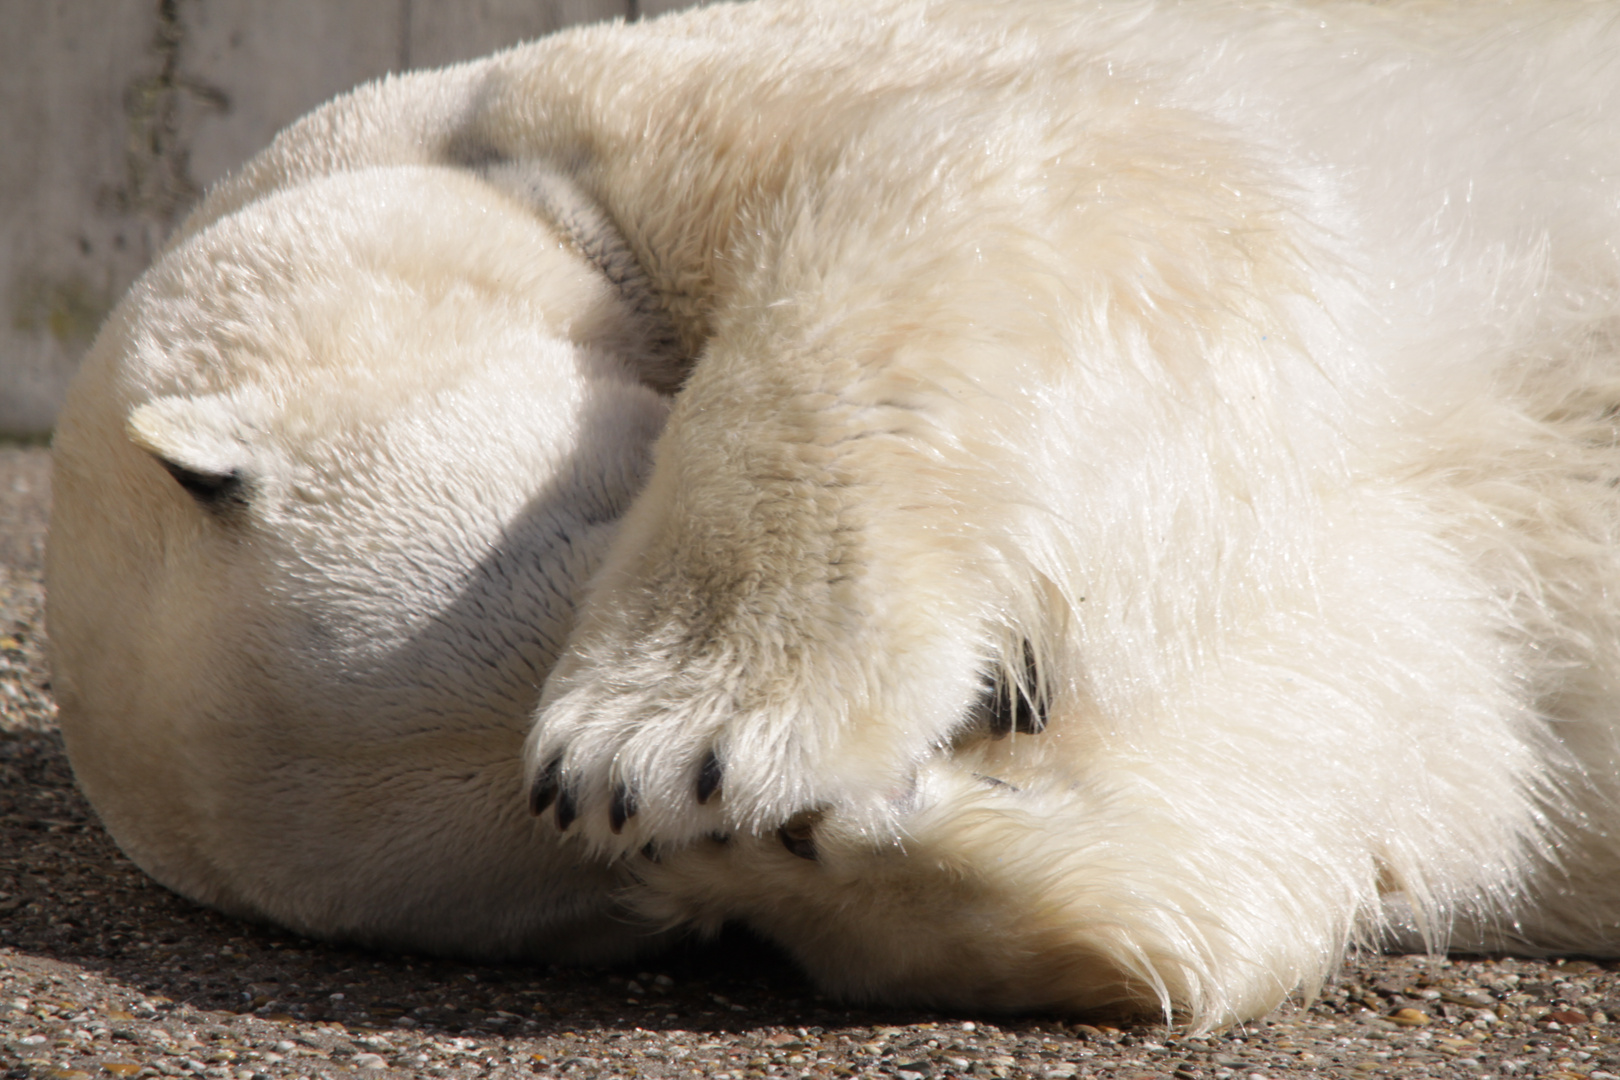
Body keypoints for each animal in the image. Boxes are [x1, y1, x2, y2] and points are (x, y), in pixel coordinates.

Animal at [44, 0, 1620, 1029]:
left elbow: (1069, 167)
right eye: (668, 918)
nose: (1020, 689)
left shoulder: (692, 105)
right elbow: (1352, 759)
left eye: (603, 530)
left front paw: (679, 736)